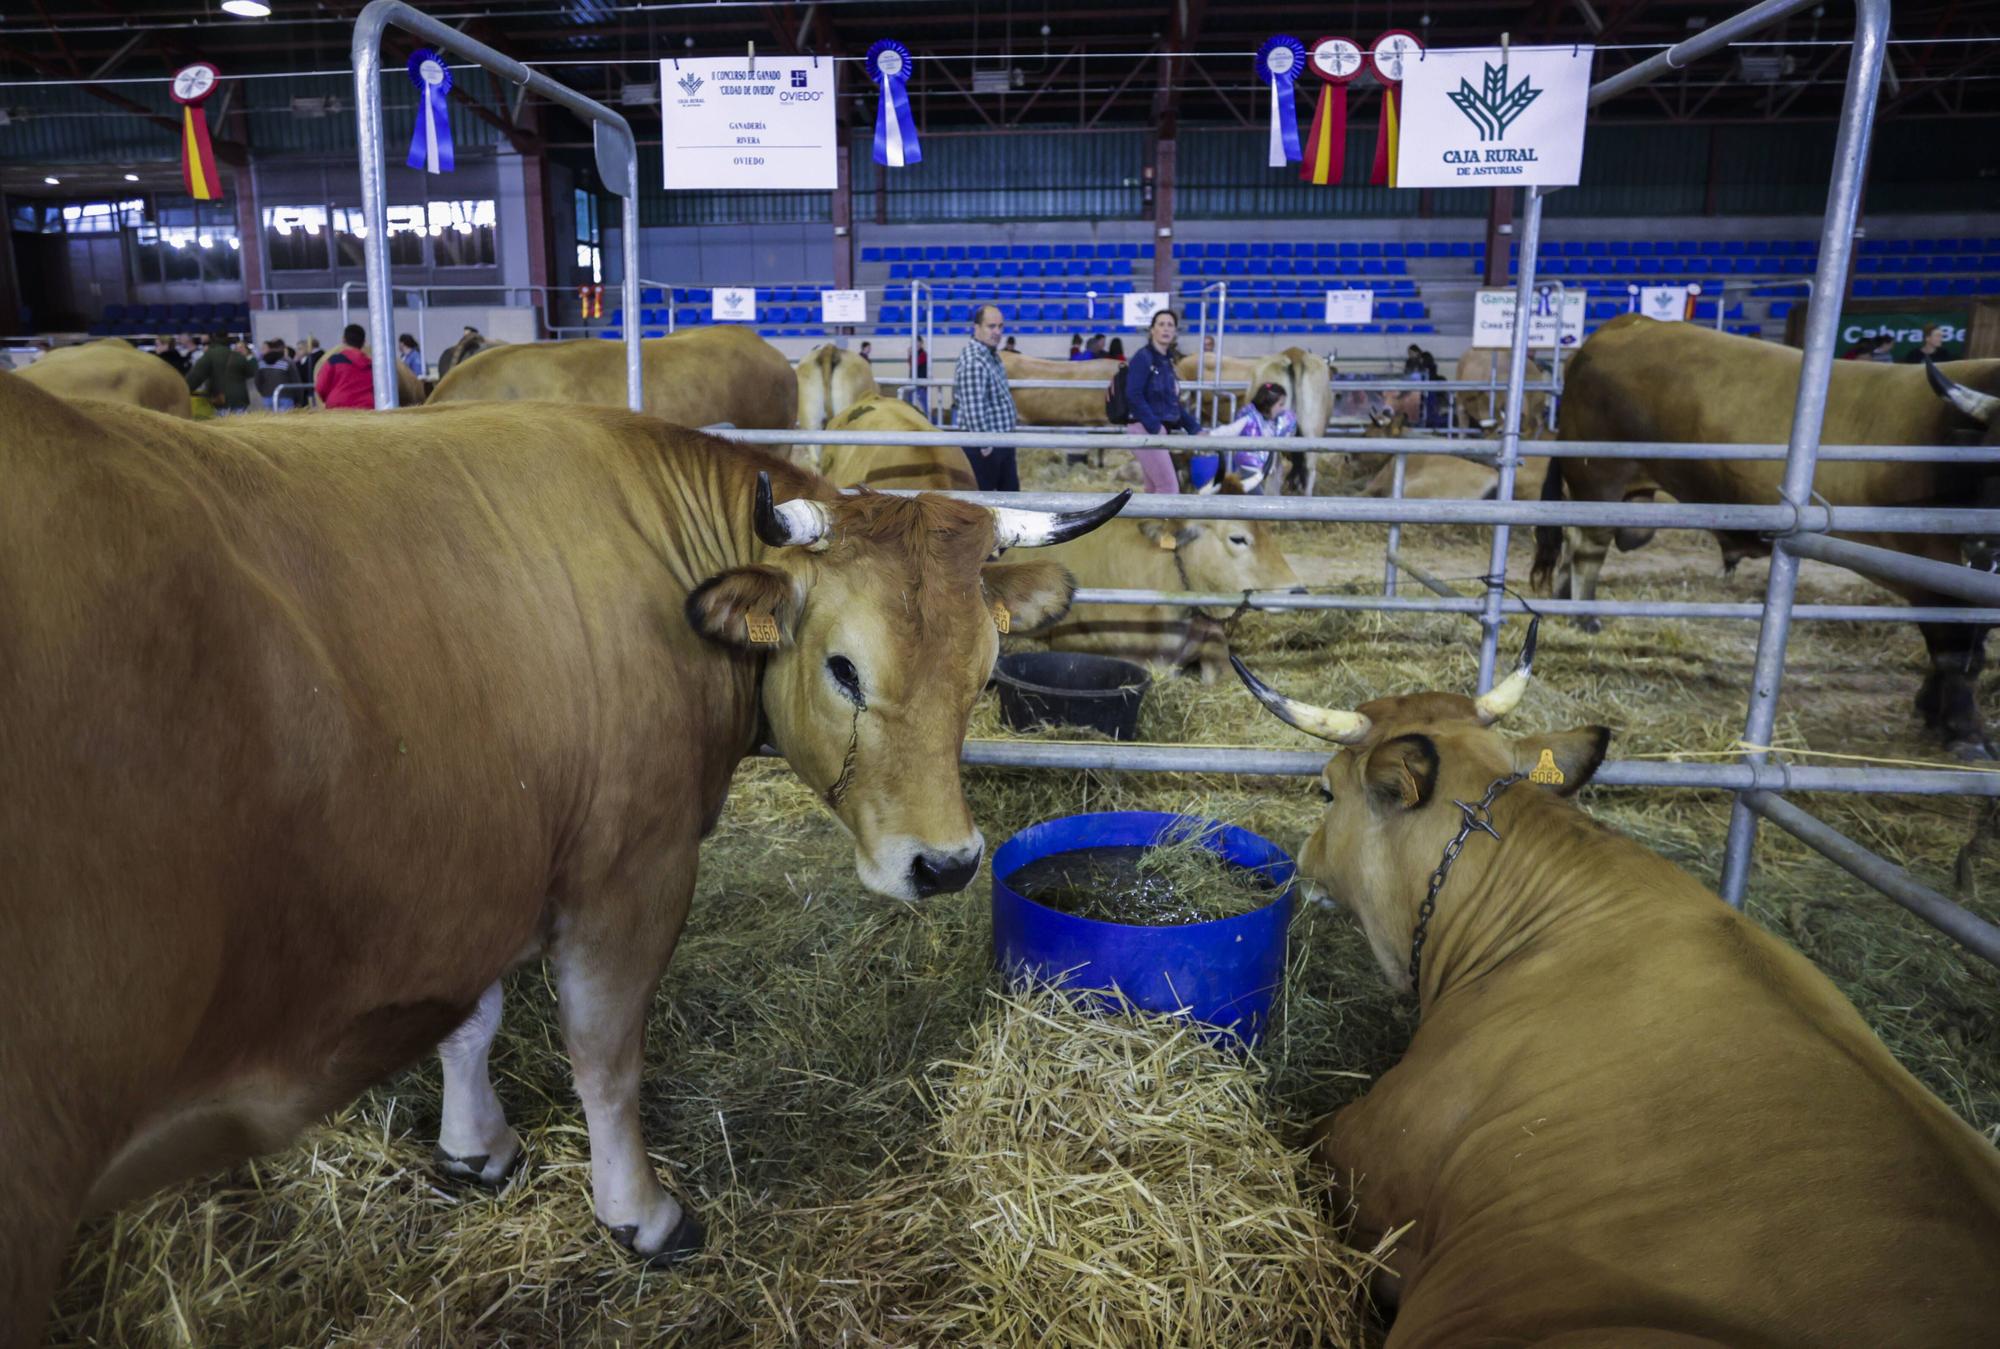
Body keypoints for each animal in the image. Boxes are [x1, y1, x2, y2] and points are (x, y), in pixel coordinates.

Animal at [0, 362, 1128, 1336]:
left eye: (983, 671)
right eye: (843, 667)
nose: (946, 863)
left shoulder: (484, 860)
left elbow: (472, 1018)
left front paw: (475, 1147)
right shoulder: (630, 868)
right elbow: (604, 1053)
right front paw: (639, 1209)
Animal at [1528, 318, 2000, 756]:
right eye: (1990, 455)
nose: (1982, 545)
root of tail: (1628, 322)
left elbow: (1968, 651)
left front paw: (1931, 710)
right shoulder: (1935, 574)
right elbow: (1958, 654)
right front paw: (1964, 731)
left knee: (1572, 543)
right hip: (1600, 476)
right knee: (1586, 546)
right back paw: (1584, 616)